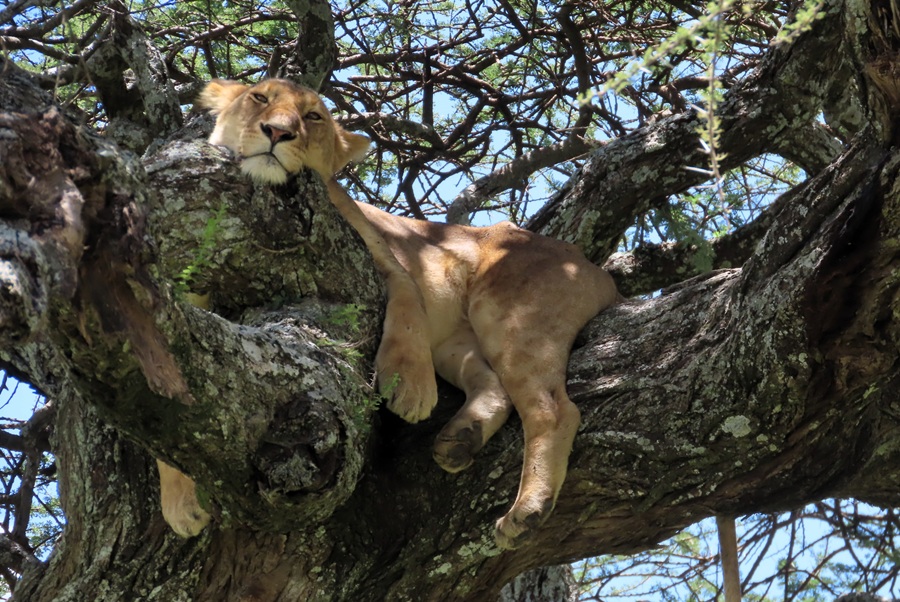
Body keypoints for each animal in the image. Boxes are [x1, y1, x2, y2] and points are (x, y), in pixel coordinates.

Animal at [157, 78, 618, 549]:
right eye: (259, 98)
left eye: (313, 117)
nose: (277, 132)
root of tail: (596, 269)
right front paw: (181, 505)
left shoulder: (388, 261)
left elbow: (407, 314)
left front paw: (409, 389)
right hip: (458, 344)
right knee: (496, 388)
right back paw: (460, 441)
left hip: (510, 317)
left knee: (553, 410)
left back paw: (526, 511)